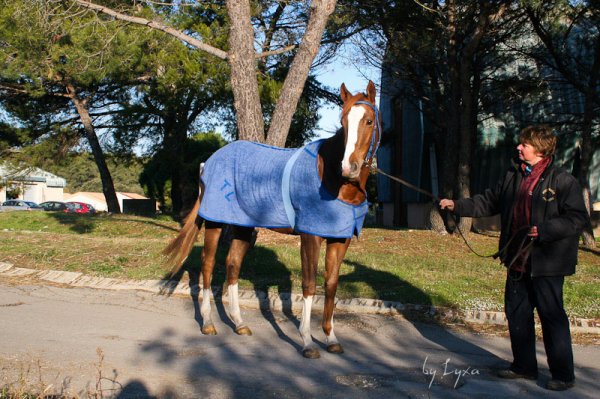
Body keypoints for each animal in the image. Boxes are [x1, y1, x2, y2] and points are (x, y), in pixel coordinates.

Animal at [163, 81, 380, 360]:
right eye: (343, 121)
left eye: (369, 121)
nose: (348, 167)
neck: (333, 179)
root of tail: (208, 162)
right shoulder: (310, 236)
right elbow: (309, 285)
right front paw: (307, 342)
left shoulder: (340, 239)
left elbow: (331, 284)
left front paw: (331, 338)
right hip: (215, 223)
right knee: (208, 266)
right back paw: (209, 323)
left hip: (243, 227)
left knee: (232, 265)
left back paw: (239, 324)